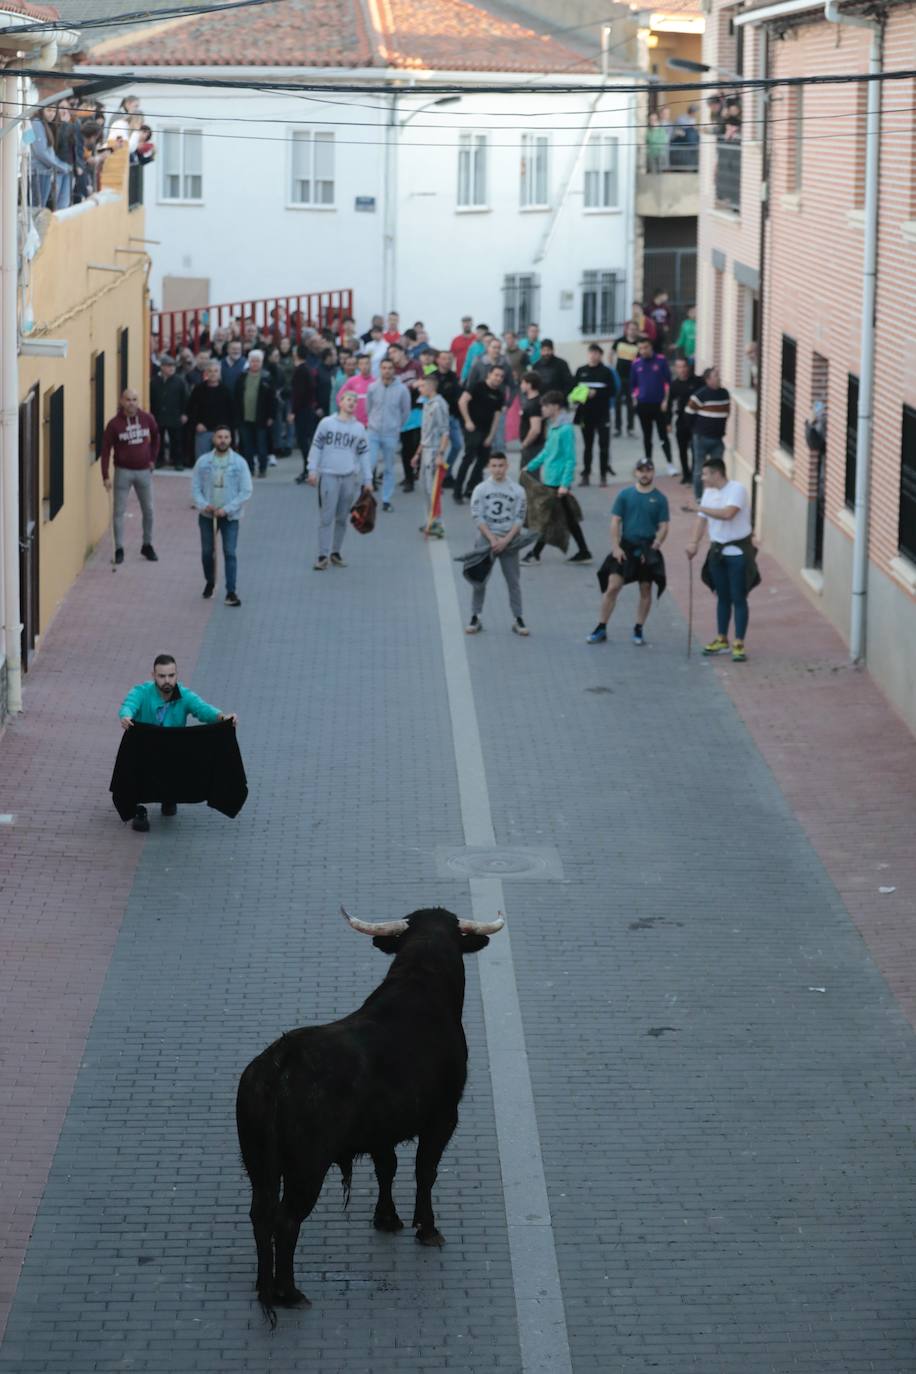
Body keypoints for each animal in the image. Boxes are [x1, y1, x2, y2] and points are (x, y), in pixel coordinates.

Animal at [234, 906, 502, 1313]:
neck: (422, 982)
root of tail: (280, 1063)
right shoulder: (443, 1116)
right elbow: (425, 1170)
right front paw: (427, 1227)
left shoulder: (381, 1129)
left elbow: (386, 1168)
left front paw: (386, 1218)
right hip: (306, 1167)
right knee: (286, 1220)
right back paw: (288, 1291)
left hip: (258, 1163)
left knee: (260, 1215)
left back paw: (263, 1285)